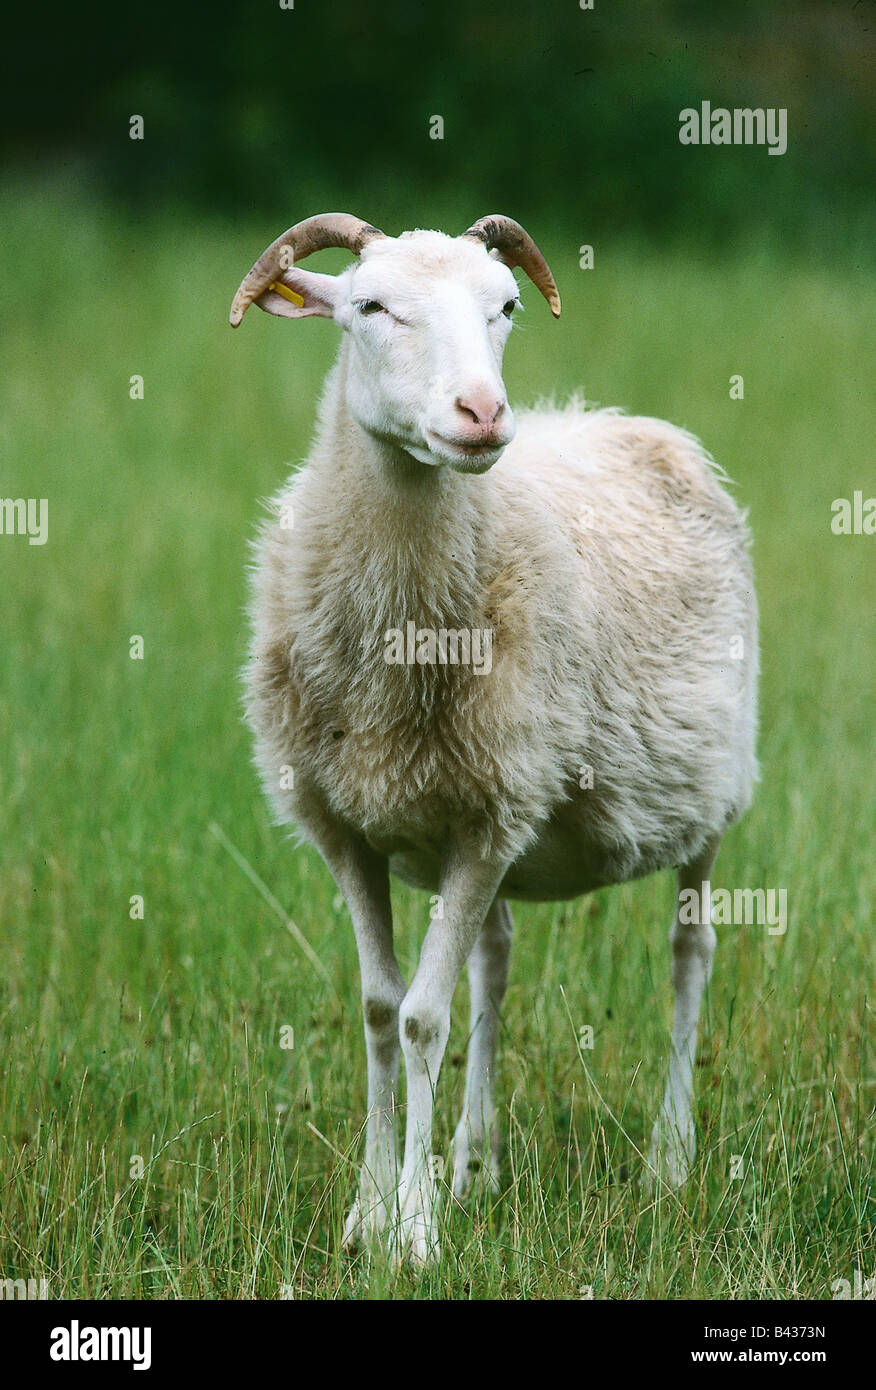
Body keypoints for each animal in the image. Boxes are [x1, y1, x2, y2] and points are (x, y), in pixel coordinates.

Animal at [230, 213, 759, 1265]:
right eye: (368, 306)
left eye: (505, 306)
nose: (481, 413)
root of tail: (631, 424)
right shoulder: (350, 826)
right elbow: (380, 1011)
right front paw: (370, 1209)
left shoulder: (485, 821)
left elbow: (425, 1022)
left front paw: (413, 1233)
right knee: (497, 960)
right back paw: (477, 1165)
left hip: (701, 799)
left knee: (692, 952)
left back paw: (669, 1158)